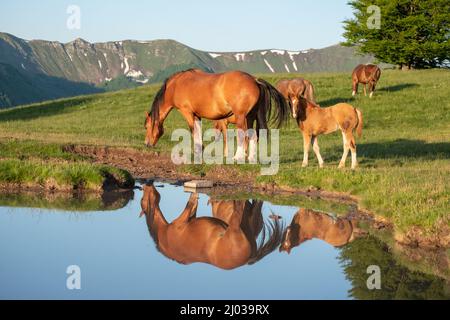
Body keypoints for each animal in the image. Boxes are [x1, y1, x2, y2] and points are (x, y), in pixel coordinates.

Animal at [141, 182, 282, 270]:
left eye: (142, 200)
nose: (147, 185)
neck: (164, 233)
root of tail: (249, 259)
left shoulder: (184, 220)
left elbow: (190, 205)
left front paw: (194, 195)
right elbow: (191, 205)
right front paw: (195, 195)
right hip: (239, 226)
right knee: (243, 206)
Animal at [146, 69, 290, 161]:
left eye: (146, 126)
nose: (147, 144)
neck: (176, 85)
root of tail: (255, 80)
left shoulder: (187, 112)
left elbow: (193, 131)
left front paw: (197, 151)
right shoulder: (197, 115)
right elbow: (198, 131)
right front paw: (200, 151)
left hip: (241, 117)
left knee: (242, 135)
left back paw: (238, 157)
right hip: (250, 117)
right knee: (253, 135)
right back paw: (251, 157)